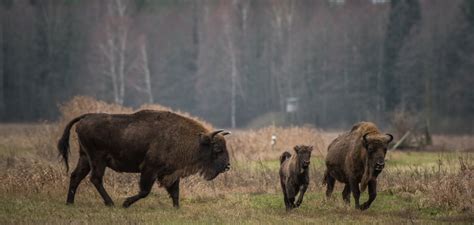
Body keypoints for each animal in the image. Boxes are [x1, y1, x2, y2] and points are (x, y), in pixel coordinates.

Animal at [57, 110, 231, 208]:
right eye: (218, 149)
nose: (227, 166)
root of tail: (85, 117)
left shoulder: (171, 172)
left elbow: (175, 192)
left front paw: (177, 208)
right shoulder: (149, 169)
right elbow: (145, 191)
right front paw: (125, 203)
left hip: (85, 158)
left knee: (76, 176)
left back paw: (69, 203)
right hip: (97, 159)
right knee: (95, 179)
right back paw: (111, 203)